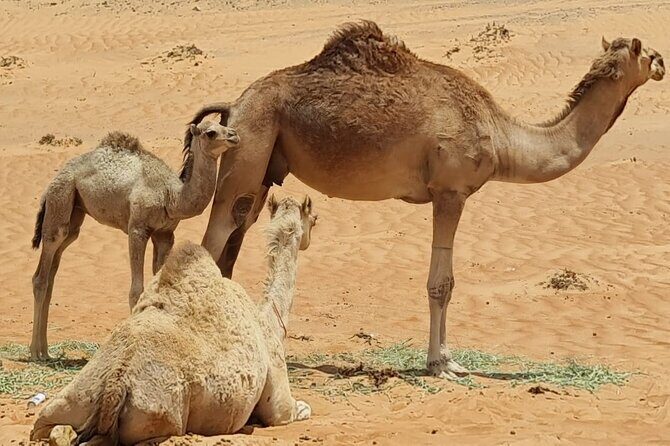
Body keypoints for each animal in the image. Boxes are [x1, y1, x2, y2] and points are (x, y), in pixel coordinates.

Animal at [30, 121, 239, 360]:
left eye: (223, 125)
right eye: (210, 133)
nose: (234, 135)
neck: (172, 196)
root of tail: (51, 183)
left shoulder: (165, 235)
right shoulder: (137, 229)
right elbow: (136, 290)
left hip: (74, 214)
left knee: (54, 269)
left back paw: (45, 351)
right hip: (60, 198)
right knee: (42, 273)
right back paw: (36, 353)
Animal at [30, 195, 317, 445]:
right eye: (312, 217)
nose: (315, 220)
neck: (268, 321)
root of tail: (115, 384)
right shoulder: (278, 401)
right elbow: (299, 409)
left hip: (68, 401)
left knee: (52, 428)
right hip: (159, 419)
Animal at [187, 21, 665, 378]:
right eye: (643, 52)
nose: (662, 63)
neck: (503, 136)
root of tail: (234, 104)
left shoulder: (449, 193)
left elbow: (446, 281)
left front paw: (447, 359)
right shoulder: (449, 191)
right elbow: (442, 283)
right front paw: (441, 364)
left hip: (264, 169)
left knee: (235, 238)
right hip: (248, 146)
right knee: (215, 237)